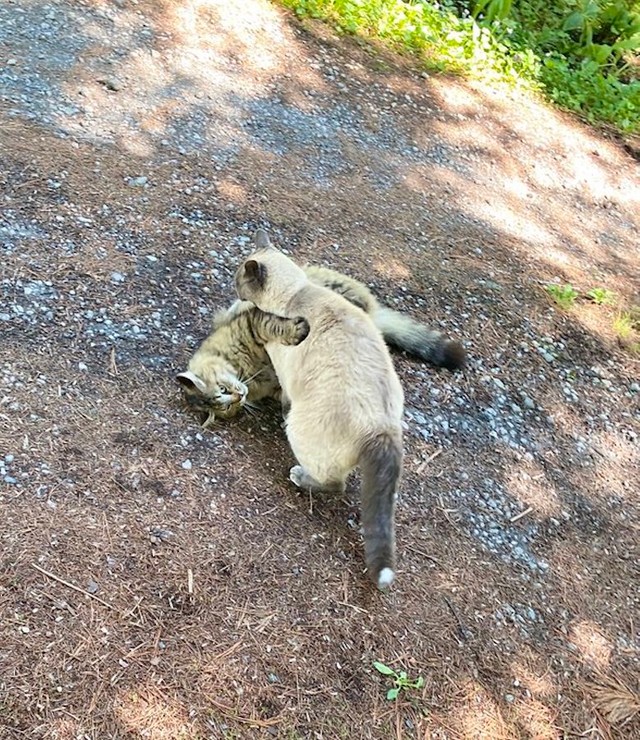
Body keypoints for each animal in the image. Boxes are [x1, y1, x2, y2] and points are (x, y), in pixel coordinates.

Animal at [235, 231, 404, 588]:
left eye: (238, 277)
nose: (232, 286)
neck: (297, 291)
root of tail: (384, 427)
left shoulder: (283, 368)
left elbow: (281, 392)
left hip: (301, 430)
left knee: (335, 484)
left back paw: (299, 476)